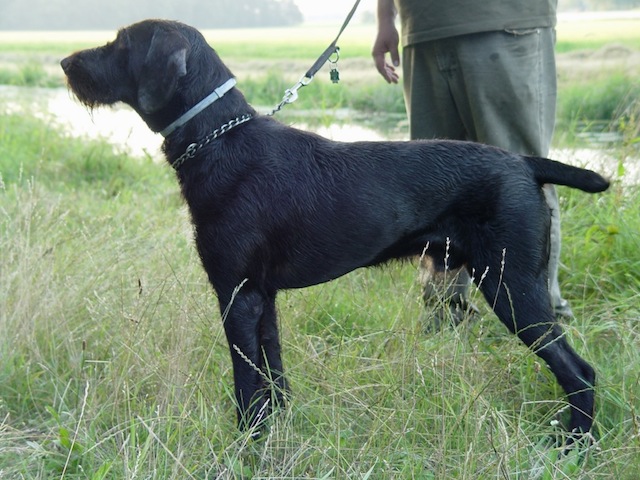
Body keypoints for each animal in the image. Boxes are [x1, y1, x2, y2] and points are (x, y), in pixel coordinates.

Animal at [61, 19, 609, 440]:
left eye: (121, 44)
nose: (65, 63)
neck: (220, 139)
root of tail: (523, 162)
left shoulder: (237, 295)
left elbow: (246, 383)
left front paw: (246, 444)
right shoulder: (263, 298)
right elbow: (273, 376)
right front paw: (276, 434)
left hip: (512, 287)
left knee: (580, 371)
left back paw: (574, 442)